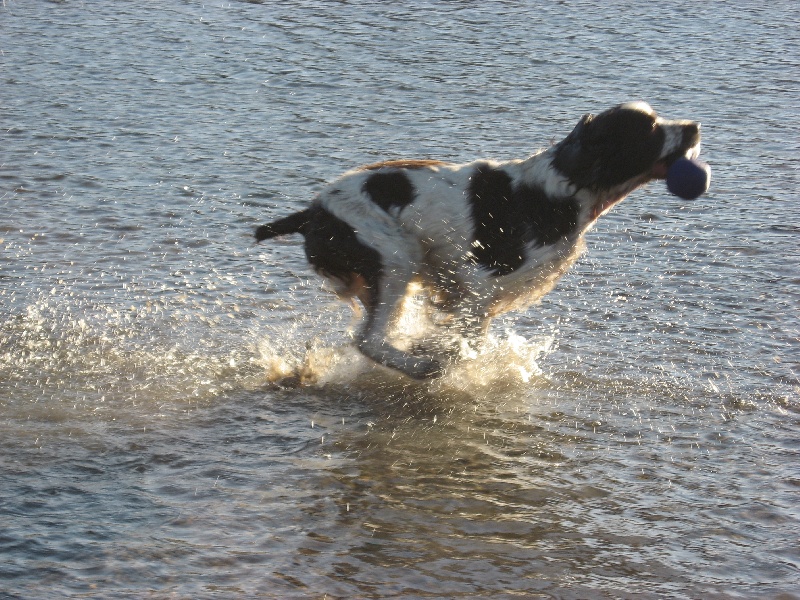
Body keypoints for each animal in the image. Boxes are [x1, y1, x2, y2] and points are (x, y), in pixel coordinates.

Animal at [256, 101, 700, 378]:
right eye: (650, 129)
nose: (695, 126)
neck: (562, 190)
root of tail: (312, 211)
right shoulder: (478, 284)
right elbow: (463, 340)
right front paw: (450, 362)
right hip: (394, 256)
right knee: (367, 339)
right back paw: (421, 369)